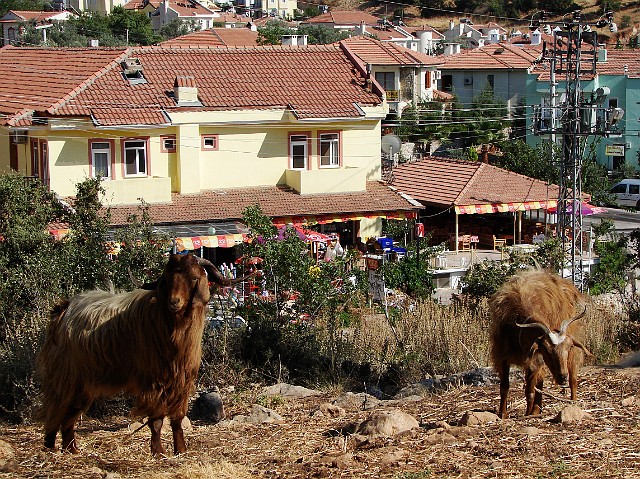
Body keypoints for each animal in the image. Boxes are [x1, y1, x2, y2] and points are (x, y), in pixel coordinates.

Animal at [35, 253, 248, 456]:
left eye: (194, 278)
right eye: (167, 278)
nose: (174, 302)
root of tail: (63, 309)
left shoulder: (182, 382)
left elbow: (177, 419)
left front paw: (181, 450)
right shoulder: (153, 381)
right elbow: (156, 420)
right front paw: (158, 452)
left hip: (82, 383)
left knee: (69, 415)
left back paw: (70, 450)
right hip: (65, 376)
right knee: (56, 409)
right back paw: (50, 446)